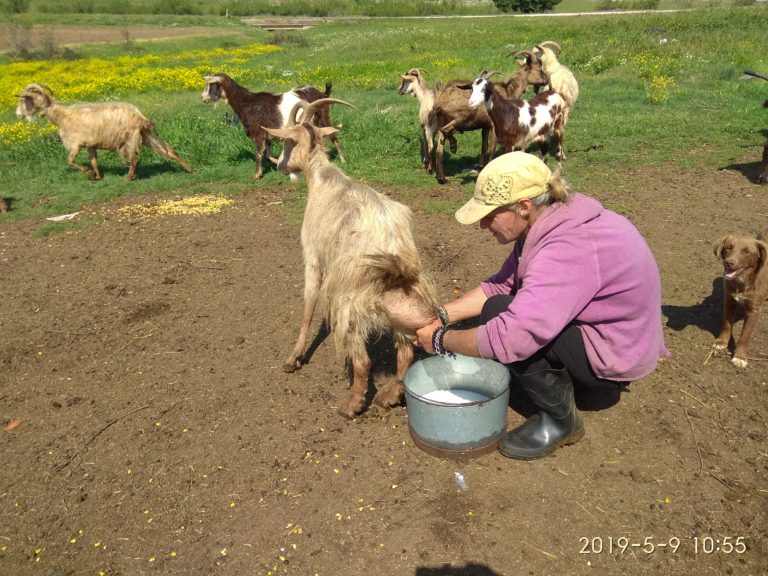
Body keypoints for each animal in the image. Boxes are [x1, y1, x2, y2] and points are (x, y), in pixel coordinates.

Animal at [15, 83, 192, 180]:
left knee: (134, 160)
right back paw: (189, 168)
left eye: (23, 100)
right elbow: (94, 161)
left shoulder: (76, 144)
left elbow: (70, 161)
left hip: (130, 138)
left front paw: (89, 174)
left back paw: (128, 177)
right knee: (168, 150)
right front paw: (97, 176)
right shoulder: (90, 145)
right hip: (145, 135)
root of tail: (139, 116)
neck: (62, 116)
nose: (17, 114)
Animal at [201, 73, 344, 179]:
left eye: (211, 85)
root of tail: (322, 93)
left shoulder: (258, 134)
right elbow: (266, 154)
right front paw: (278, 162)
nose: (203, 98)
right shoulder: (267, 135)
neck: (247, 103)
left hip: (323, 118)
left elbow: (258, 154)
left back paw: (342, 159)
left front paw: (256, 175)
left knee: (333, 136)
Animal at [268, 98, 440, 414]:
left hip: (349, 305)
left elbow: (307, 307)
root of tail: (398, 268)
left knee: (362, 360)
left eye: (288, 141)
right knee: (405, 355)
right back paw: (390, 396)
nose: (283, 166)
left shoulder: (313, 257)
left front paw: (293, 359)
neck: (321, 178)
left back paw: (352, 405)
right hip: (404, 312)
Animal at [712, 228, 768, 366]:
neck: (742, 280)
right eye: (728, 247)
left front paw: (740, 357)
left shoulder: (753, 310)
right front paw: (721, 342)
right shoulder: (729, 301)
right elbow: (726, 324)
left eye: (747, 251)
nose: (729, 262)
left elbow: (745, 336)